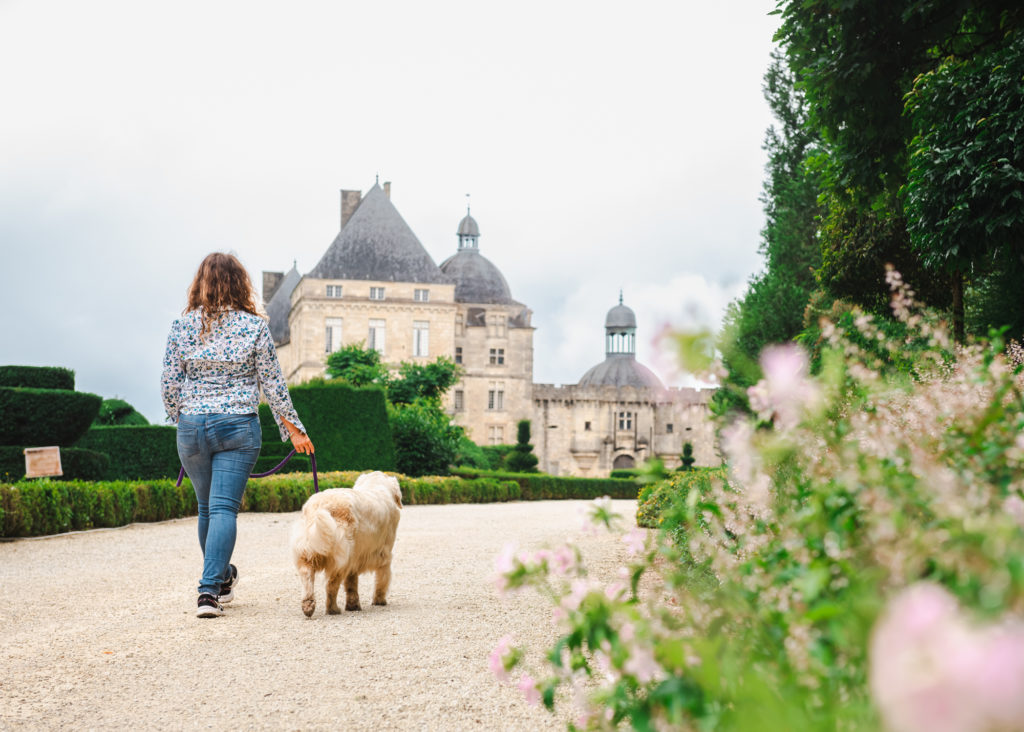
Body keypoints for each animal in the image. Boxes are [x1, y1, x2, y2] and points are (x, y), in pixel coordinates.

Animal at [290, 468, 401, 618]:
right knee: (331, 586)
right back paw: (333, 609)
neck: (375, 485)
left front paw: (353, 605)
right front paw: (379, 600)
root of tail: (320, 505)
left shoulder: (355, 559)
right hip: (340, 559)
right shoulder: (384, 555)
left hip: (308, 554)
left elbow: (351, 583)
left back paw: (308, 606)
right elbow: (382, 579)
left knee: (307, 578)